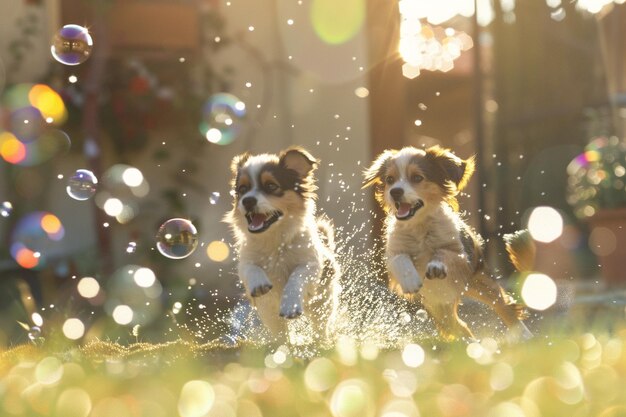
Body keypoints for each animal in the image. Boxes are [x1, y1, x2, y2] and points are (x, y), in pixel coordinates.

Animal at [225, 146, 338, 342]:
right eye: (243, 189)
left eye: (271, 186)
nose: (247, 200)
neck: (274, 240)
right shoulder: (246, 260)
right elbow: (249, 268)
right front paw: (258, 283)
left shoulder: (311, 263)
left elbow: (297, 277)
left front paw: (290, 304)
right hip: (269, 312)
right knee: (280, 334)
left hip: (321, 304)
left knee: (320, 327)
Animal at [360, 145, 532, 342]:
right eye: (390, 179)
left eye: (417, 177)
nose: (395, 191)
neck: (420, 226)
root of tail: (458, 293)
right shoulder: (393, 253)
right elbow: (400, 259)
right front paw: (411, 280)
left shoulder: (461, 254)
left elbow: (444, 253)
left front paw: (436, 265)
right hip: (439, 307)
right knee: (458, 326)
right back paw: (470, 343)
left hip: (480, 282)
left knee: (503, 306)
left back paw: (524, 335)